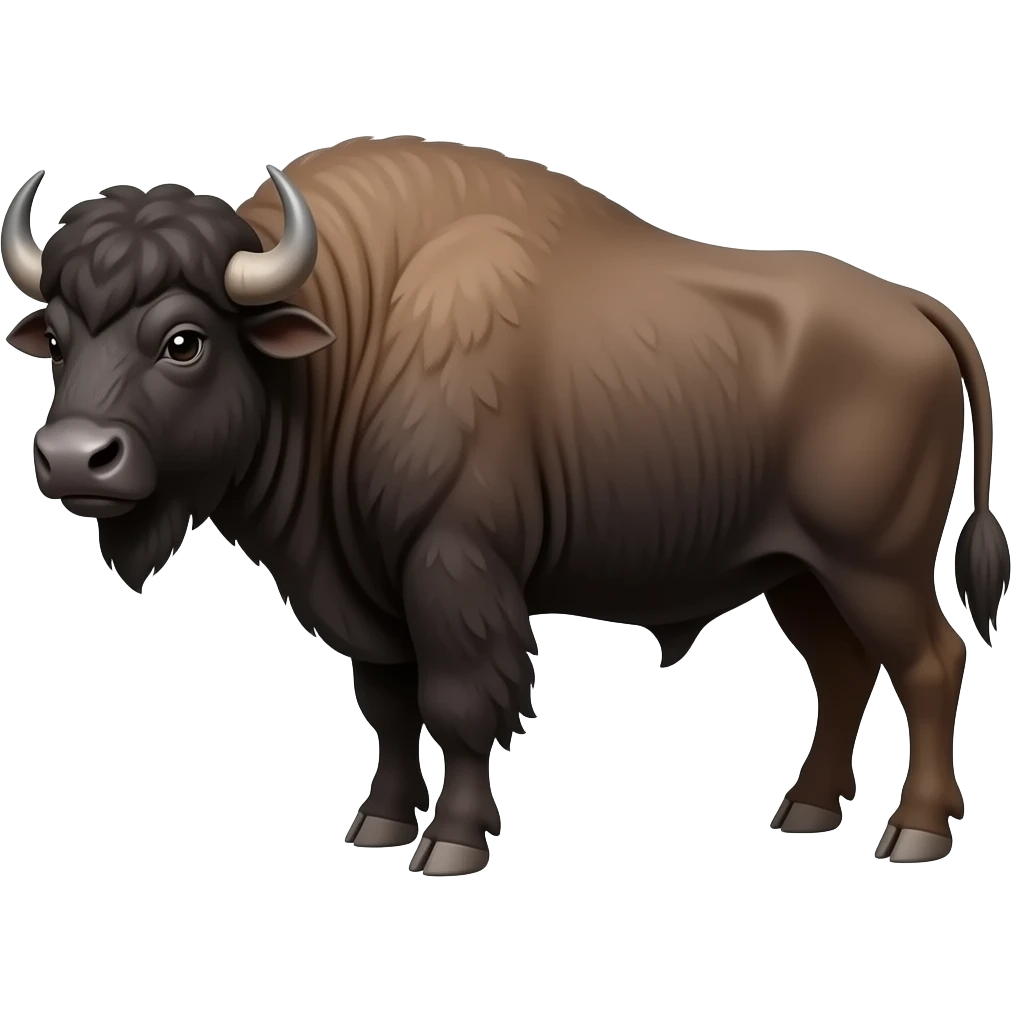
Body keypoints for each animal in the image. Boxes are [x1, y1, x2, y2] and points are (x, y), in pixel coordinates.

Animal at [2, 137, 1007, 874]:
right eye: (59, 336)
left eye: (184, 340)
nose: (72, 457)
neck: (348, 334)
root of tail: (916, 309)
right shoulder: (367, 594)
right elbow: (388, 705)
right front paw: (377, 825)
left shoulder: (453, 565)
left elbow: (457, 703)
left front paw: (449, 844)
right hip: (800, 574)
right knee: (844, 671)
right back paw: (803, 812)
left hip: (875, 566)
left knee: (929, 663)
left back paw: (915, 833)